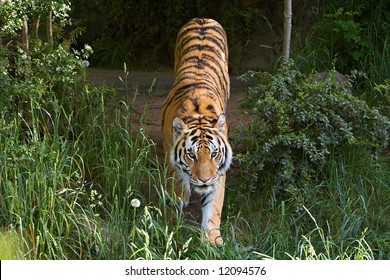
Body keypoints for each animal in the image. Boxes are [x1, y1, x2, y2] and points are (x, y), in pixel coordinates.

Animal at [161, 18, 232, 245]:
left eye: (214, 153)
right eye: (191, 155)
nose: (204, 180)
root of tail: (202, 18)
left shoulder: (219, 172)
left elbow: (214, 206)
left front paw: (211, 239)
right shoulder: (169, 148)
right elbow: (177, 175)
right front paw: (178, 198)